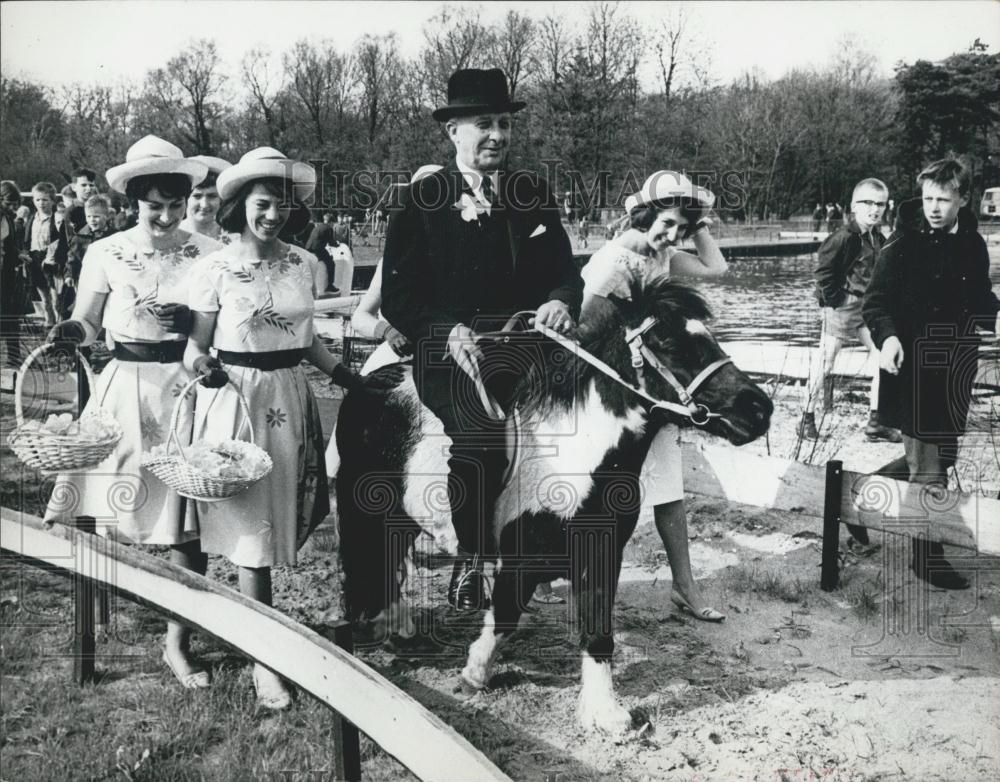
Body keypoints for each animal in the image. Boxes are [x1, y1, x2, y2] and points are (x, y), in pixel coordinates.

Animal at [338, 278, 772, 740]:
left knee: (390, 562)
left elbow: (587, 627)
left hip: (399, 518)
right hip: (365, 509)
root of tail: (367, 382)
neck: (575, 461)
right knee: (370, 565)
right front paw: (478, 673)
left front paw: (603, 712)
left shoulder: (599, 553)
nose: (759, 409)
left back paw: (399, 628)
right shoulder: (521, 557)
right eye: (670, 343)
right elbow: (508, 615)